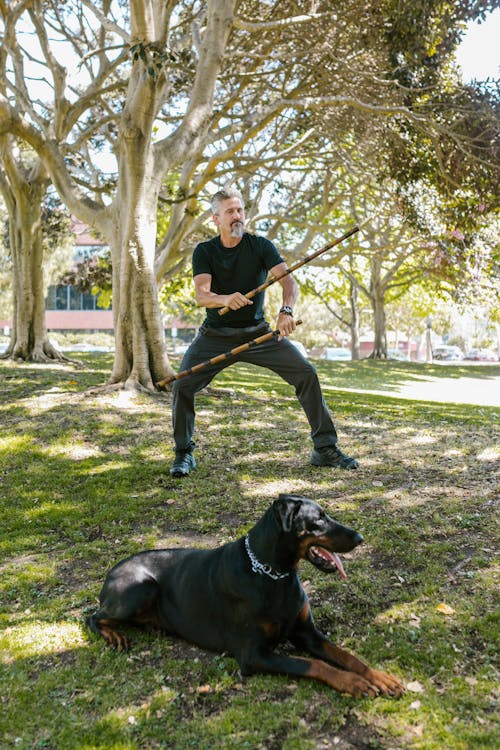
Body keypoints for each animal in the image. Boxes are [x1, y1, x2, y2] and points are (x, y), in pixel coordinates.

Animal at [86, 494, 404, 700]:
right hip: (141, 588)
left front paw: (379, 676)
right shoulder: (253, 654)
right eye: (319, 519)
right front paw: (354, 683)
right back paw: (113, 634)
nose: (360, 537)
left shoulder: (307, 633)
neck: (273, 573)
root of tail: (111, 571)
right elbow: (315, 664)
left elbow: (347, 656)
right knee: (92, 616)